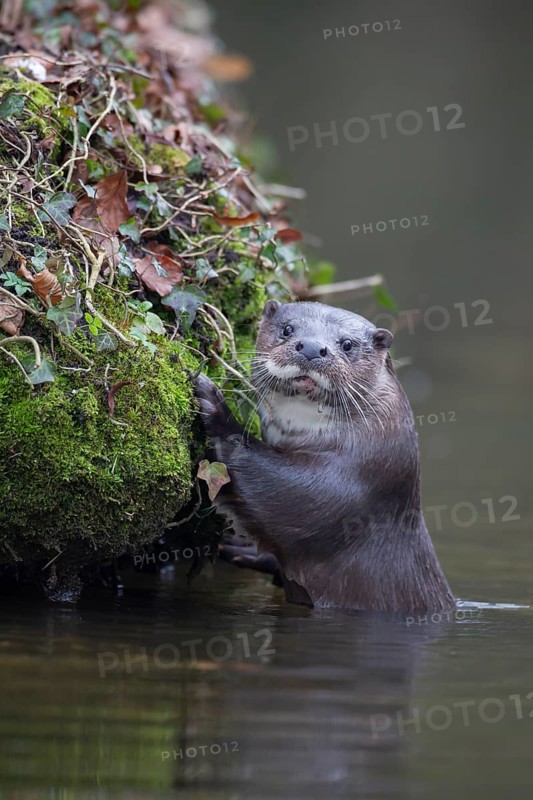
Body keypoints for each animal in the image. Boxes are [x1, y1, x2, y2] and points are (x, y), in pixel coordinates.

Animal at [194, 300, 454, 612]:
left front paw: (217, 409)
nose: (310, 347)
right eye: (287, 329)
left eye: (347, 344)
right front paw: (242, 548)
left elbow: (281, 494)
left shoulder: (355, 483)